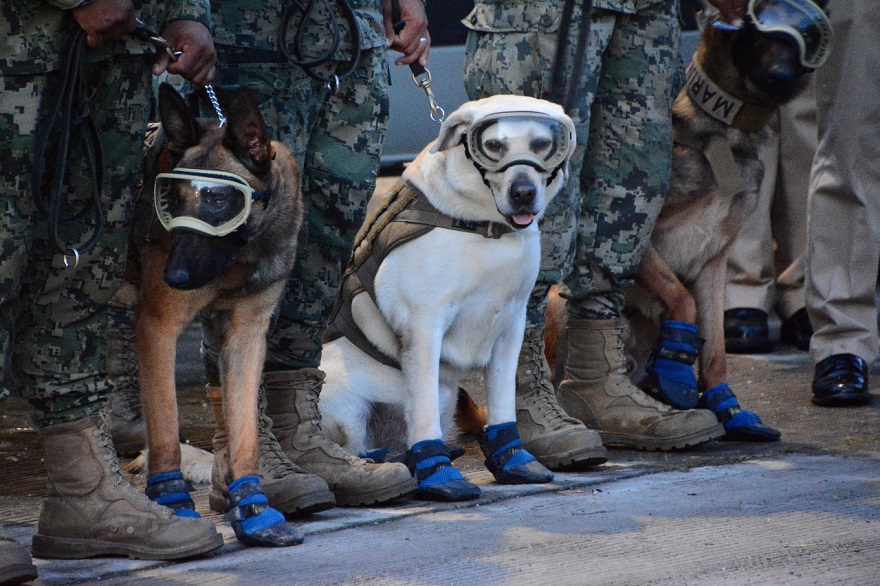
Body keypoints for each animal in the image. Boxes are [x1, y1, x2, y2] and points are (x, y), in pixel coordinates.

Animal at [133, 83, 302, 544]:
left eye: (219, 199)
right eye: (172, 199)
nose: (173, 276)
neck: (242, 255)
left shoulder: (246, 337)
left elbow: (244, 432)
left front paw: (252, 506)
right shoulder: (157, 328)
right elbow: (165, 431)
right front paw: (174, 505)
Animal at [320, 96, 576, 498]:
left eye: (542, 144)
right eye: (493, 145)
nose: (523, 192)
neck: (486, 229)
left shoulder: (512, 325)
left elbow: (503, 400)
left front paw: (513, 461)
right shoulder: (424, 326)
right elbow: (423, 414)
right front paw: (439, 474)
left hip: (445, 396)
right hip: (347, 403)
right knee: (361, 446)